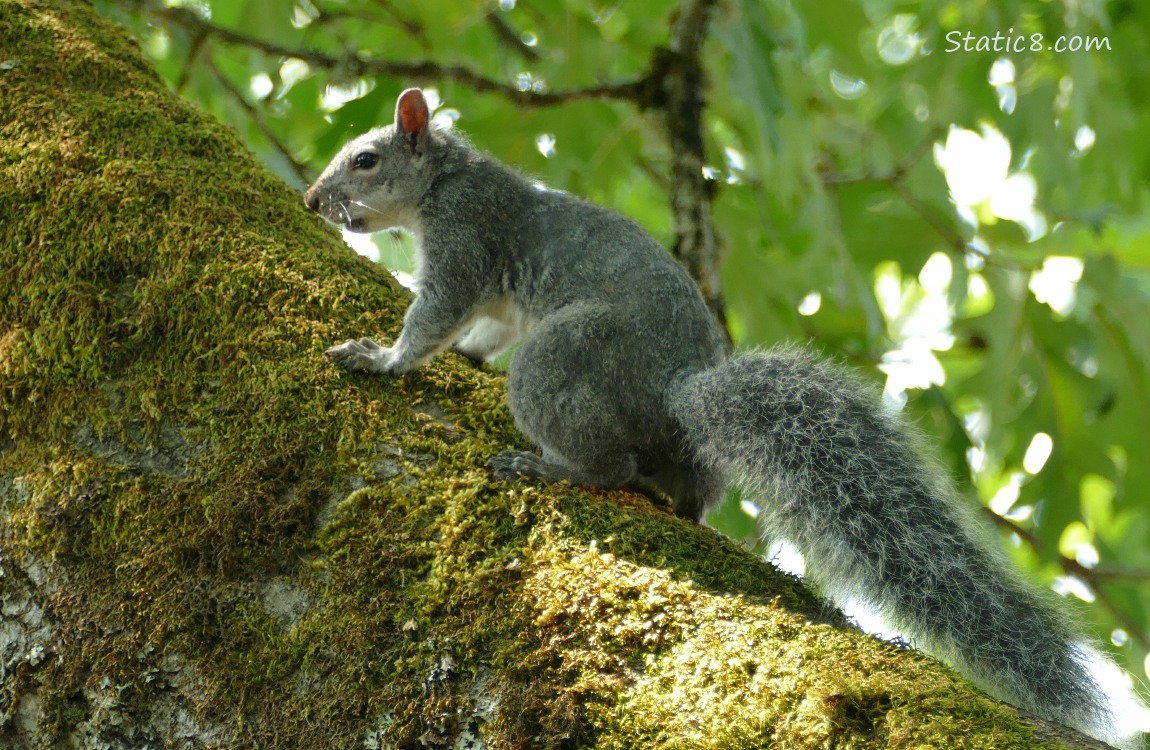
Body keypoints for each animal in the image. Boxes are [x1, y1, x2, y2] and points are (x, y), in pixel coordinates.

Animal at [303, 86, 1140, 745]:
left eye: (366, 159)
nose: (312, 201)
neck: (447, 180)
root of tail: (678, 395)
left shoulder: (467, 241)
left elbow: (435, 319)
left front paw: (382, 358)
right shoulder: (497, 296)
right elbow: (481, 332)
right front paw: (468, 357)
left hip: (565, 353)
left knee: (607, 461)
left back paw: (550, 465)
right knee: (681, 492)